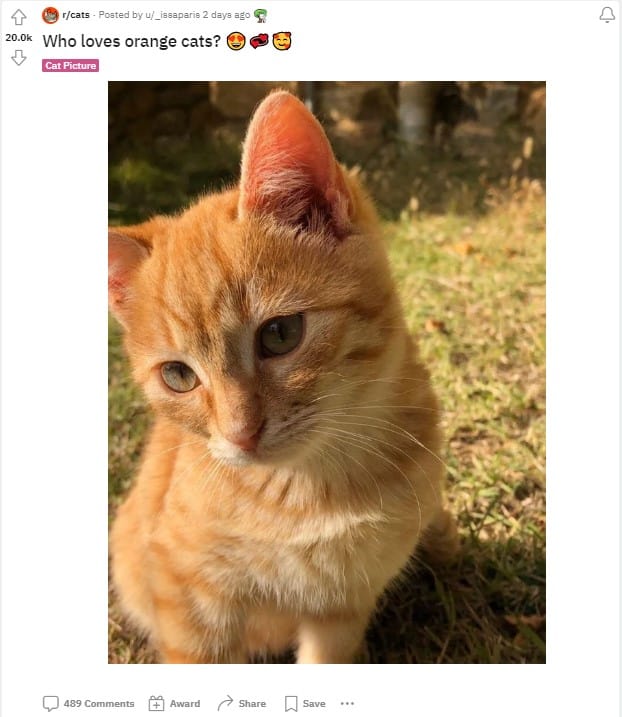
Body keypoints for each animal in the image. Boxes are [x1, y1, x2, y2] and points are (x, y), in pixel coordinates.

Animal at [109, 92, 458, 664]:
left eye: (279, 334)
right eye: (178, 375)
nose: (240, 435)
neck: (306, 491)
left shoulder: (343, 607)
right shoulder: (189, 601)